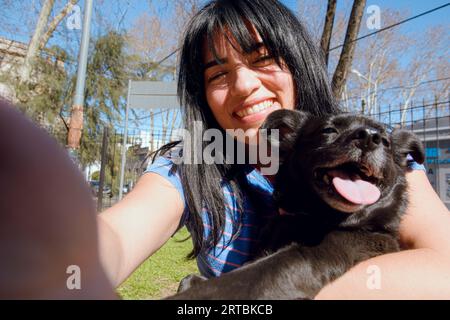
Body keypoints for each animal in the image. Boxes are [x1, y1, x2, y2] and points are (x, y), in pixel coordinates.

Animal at [169, 110, 426, 300]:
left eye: (386, 142)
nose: (370, 137)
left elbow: (250, 278)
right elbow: (190, 279)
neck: (314, 217)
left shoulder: (320, 251)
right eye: (329, 130)